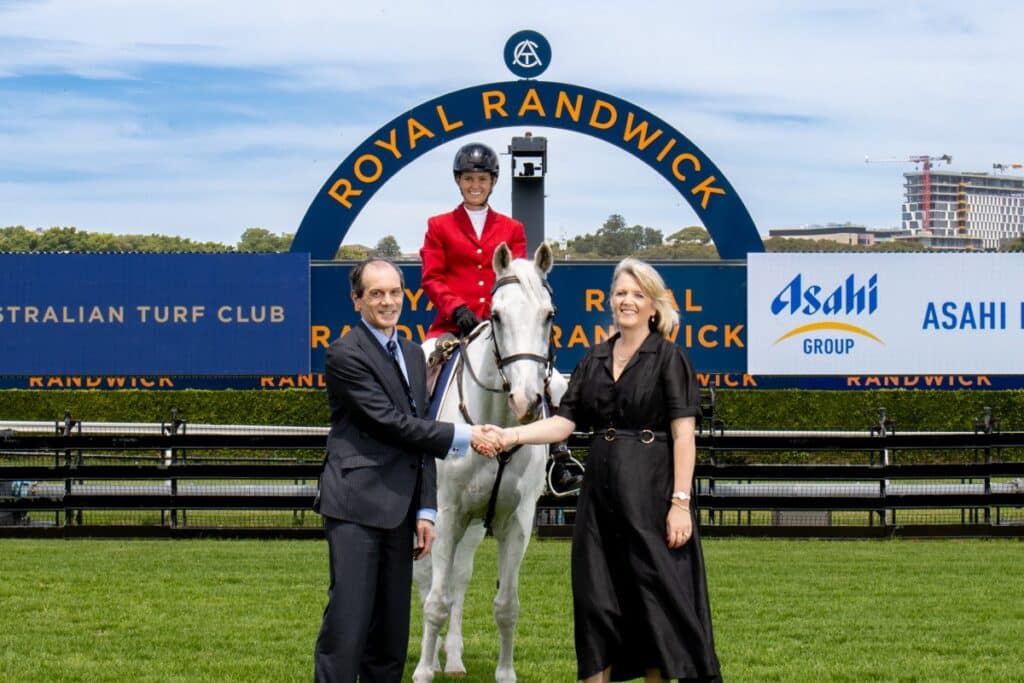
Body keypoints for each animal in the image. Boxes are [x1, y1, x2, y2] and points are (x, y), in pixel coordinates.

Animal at [412, 242, 559, 683]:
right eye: (496, 316)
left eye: (549, 315)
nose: (526, 401)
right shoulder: (445, 516)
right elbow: (435, 599)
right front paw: (423, 671)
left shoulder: (517, 522)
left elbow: (506, 605)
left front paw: (504, 674)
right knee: (429, 581)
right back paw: (434, 657)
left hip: (475, 526)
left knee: (458, 579)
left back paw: (453, 659)